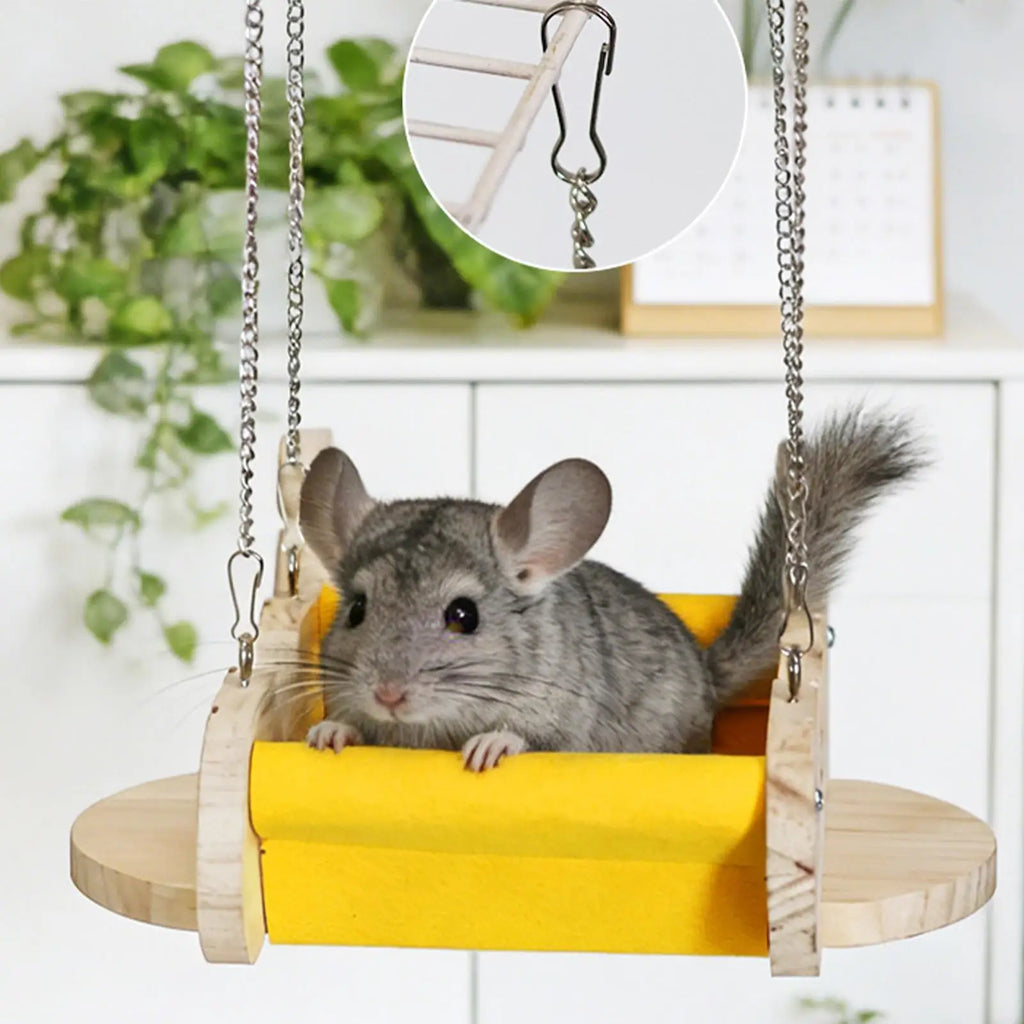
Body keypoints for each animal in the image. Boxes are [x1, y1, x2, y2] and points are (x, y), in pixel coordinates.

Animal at [298, 407, 925, 771]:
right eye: (357, 609)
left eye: (463, 615)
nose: (388, 694)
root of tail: (704, 669)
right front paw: (330, 733)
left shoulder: (564, 725)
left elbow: (528, 739)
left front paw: (491, 746)